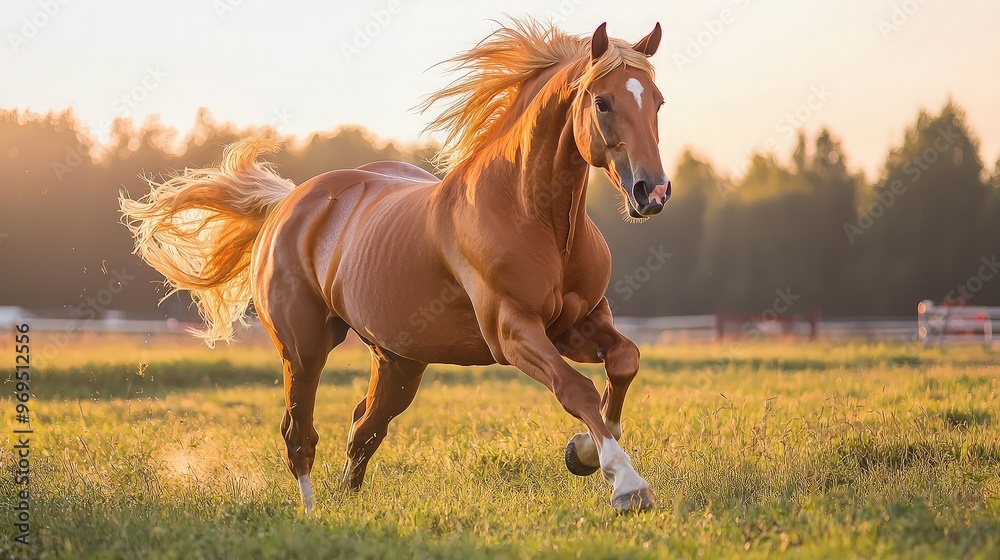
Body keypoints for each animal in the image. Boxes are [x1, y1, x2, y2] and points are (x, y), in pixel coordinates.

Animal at [120, 19, 670, 512]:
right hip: (304, 350)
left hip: (400, 361)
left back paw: (347, 498)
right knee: (300, 433)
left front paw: (584, 453)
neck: (532, 216)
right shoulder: (512, 330)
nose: (652, 192)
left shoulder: (579, 322)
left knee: (364, 428)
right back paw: (312, 514)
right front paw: (627, 484)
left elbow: (625, 361)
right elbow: (576, 388)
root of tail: (287, 203)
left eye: (658, 101)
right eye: (602, 101)